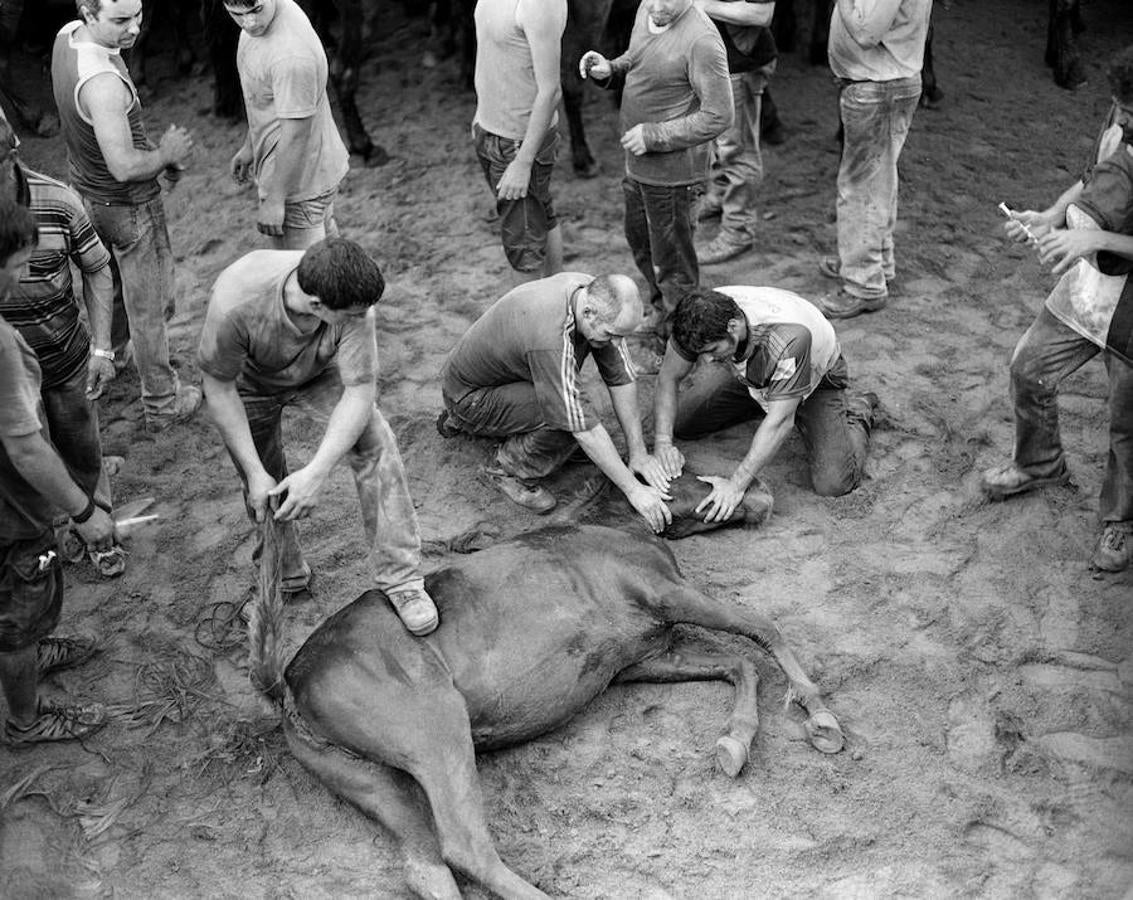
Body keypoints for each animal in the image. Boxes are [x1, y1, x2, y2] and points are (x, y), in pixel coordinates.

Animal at [252, 514, 847, 893]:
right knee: (465, 847)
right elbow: (761, 629)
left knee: (426, 866)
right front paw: (822, 721)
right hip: (437, 732)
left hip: (376, 780)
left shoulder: (638, 660)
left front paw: (733, 744)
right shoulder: (665, 595)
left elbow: (737, 664)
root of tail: (289, 685)